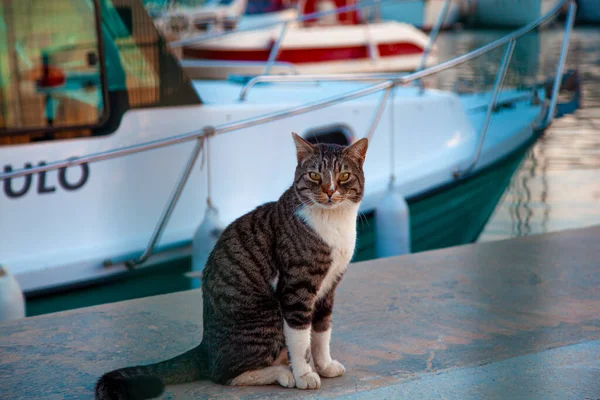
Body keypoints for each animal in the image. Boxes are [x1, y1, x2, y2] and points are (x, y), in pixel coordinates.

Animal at [94, 133, 368, 398]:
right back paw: (283, 373)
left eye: (344, 176)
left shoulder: (329, 287)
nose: (330, 191)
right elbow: (301, 338)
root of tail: (205, 347)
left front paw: (324, 365)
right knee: (224, 374)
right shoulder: (296, 288)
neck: (333, 222)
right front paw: (305, 375)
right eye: (314, 175)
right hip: (268, 315)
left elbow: (321, 331)